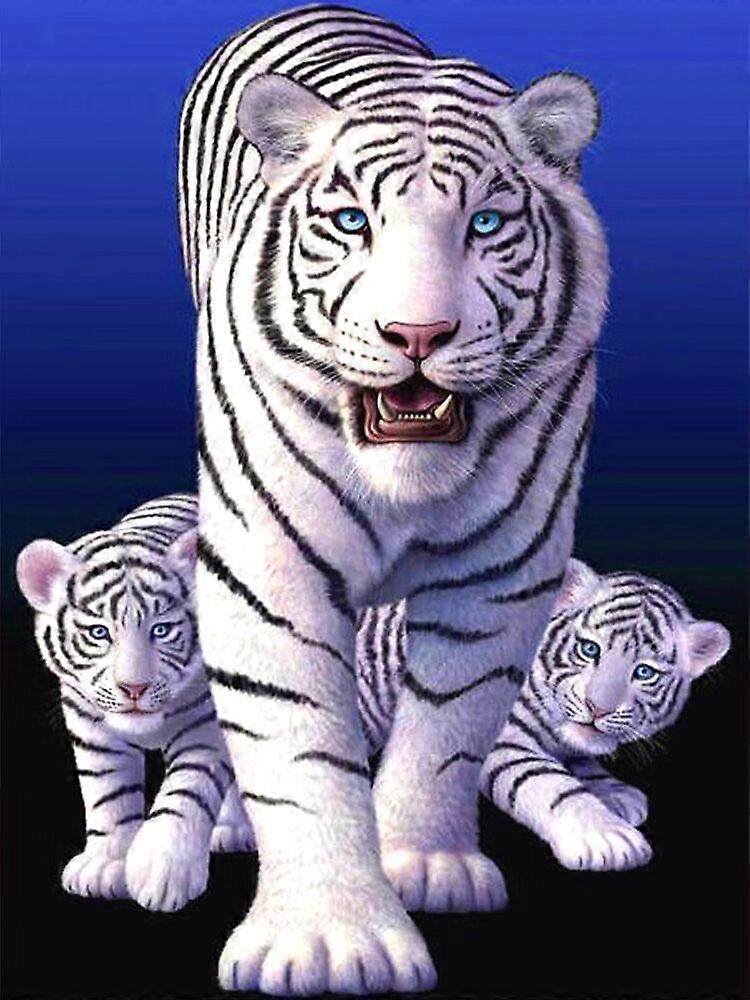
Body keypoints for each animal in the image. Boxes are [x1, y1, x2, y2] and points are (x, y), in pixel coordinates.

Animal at [15, 494, 254, 912]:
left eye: (162, 630)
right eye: (99, 633)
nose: (134, 688)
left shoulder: (202, 726)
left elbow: (185, 791)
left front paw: (163, 871)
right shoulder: (92, 729)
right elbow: (109, 796)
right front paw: (103, 866)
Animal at [180, 4, 608, 993]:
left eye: (485, 223)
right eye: (349, 223)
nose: (417, 333)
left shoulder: (506, 573)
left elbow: (449, 726)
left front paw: (426, 865)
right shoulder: (267, 572)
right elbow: (298, 750)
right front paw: (330, 942)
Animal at [357, 559, 731, 872]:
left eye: (644, 672)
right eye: (589, 649)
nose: (598, 708)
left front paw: (615, 792)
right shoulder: (504, 740)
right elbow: (551, 782)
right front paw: (606, 835)